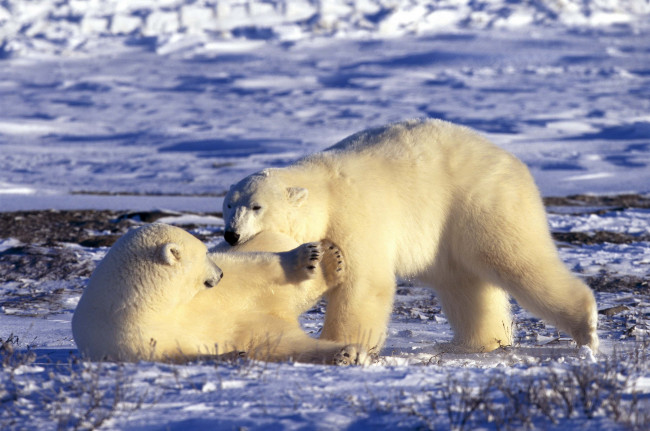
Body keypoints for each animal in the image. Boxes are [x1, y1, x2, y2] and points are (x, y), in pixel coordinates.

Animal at [71, 224, 368, 366]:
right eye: (203, 254)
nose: (219, 273)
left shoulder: (207, 296)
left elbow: (253, 272)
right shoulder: (131, 337)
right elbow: (178, 354)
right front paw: (232, 354)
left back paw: (327, 259)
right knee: (289, 344)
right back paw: (346, 353)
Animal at [221, 118, 596, 354]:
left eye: (256, 206)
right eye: (227, 205)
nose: (231, 235)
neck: (324, 189)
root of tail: (513, 161)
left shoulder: (355, 216)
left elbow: (364, 283)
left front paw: (340, 343)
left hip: (481, 201)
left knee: (516, 259)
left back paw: (586, 328)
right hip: (449, 236)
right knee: (465, 285)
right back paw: (479, 342)